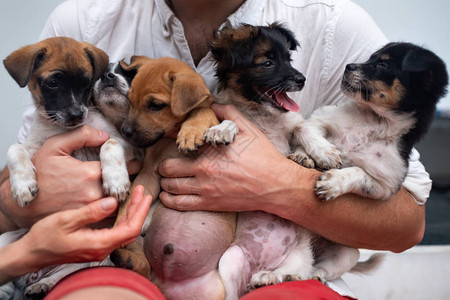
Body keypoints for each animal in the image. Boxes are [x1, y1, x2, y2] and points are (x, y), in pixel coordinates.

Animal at [112, 56, 236, 300]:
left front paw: (191, 133)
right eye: (130, 101)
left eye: (156, 105)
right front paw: (120, 227)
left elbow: (202, 112)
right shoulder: (149, 174)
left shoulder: (210, 113)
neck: (169, 138)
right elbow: (129, 205)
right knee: (144, 267)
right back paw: (127, 258)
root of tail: (165, 282)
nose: (125, 131)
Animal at [296, 41, 446, 202]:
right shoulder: (322, 117)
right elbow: (306, 130)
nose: (348, 66)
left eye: (383, 65)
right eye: (370, 58)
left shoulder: (385, 185)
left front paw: (332, 183)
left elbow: (358, 173)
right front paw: (325, 154)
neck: (374, 122)